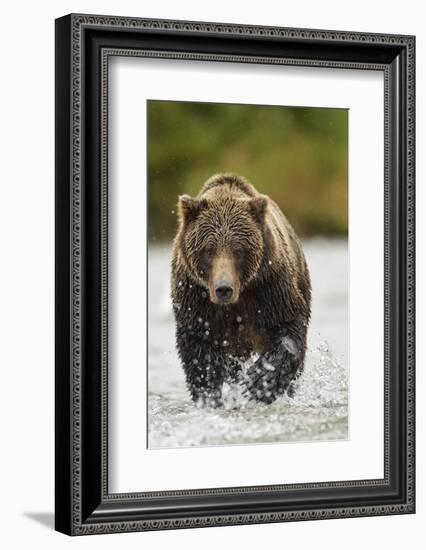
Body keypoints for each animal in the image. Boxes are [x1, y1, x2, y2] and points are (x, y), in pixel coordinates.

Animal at [171, 175, 312, 408]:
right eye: (208, 249)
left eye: (238, 249)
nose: (223, 289)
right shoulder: (196, 298)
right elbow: (199, 349)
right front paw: (209, 395)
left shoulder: (269, 287)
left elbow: (287, 328)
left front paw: (259, 382)